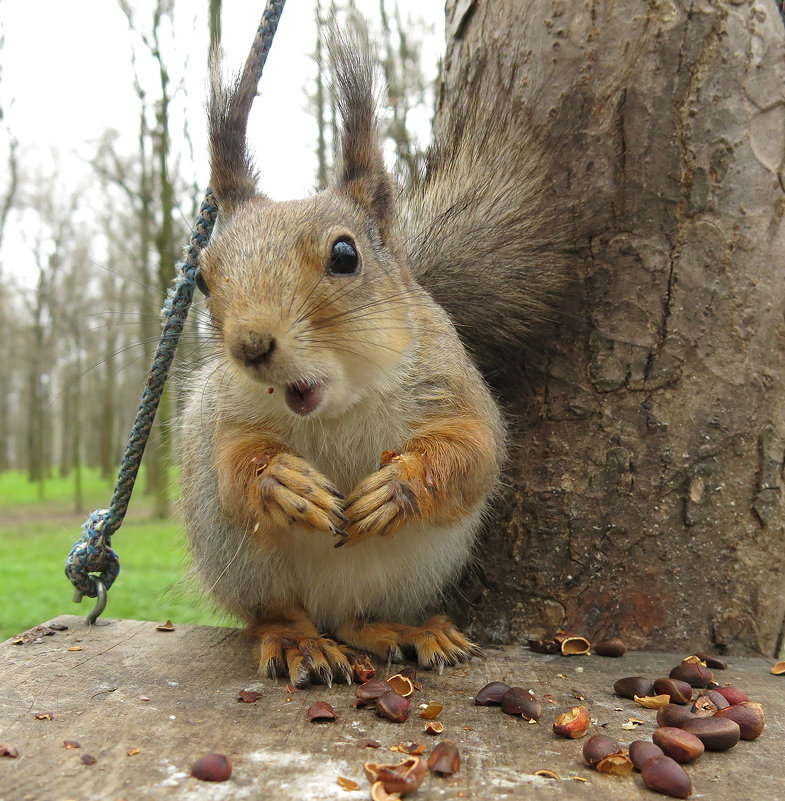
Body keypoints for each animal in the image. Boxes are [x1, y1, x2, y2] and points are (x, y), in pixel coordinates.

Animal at [180, 39, 568, 688]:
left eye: (345, 255)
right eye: (204, 279)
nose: (250, 346)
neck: (338, 406)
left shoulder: (451, 385)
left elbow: (473, 450)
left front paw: (401, 484)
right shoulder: (223, 413)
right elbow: (233, 465)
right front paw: (282, 480)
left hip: (410, 572)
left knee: (358, 619)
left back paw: (404, 631)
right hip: (248, 569)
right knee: (279, 614)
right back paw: (299, 643)